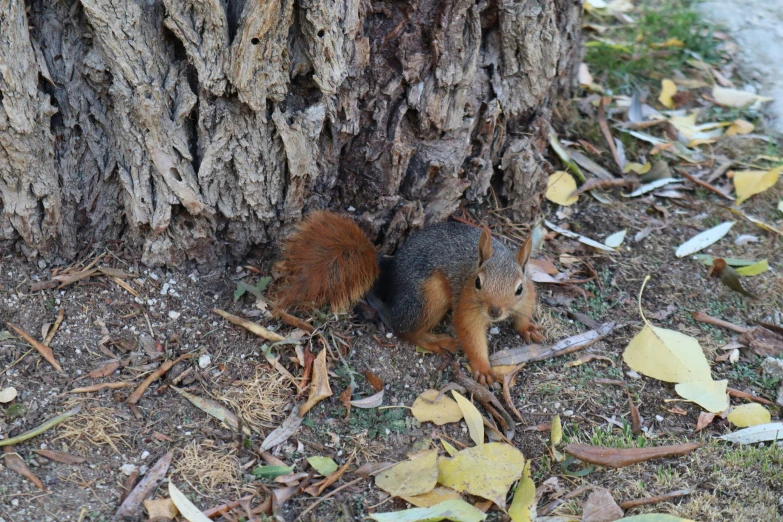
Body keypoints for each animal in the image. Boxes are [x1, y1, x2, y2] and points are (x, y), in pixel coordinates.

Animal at [278, 209, 544, 384]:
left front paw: (528, 328)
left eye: (519, 289)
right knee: (404, 330)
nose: (494, 312)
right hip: (430, 297)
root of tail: (391, 272)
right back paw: (437, 341)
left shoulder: (528, 295)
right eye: (478, 282)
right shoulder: (468, 304)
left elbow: (524, 312)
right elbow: (469, 331)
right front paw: (483, 368)